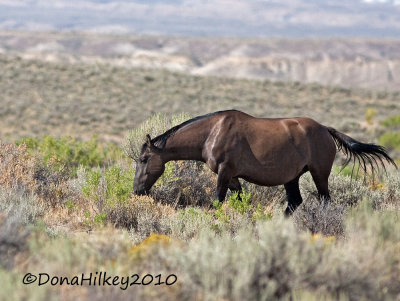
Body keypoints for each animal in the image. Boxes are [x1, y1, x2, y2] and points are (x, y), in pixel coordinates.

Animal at [133, 109, 396, 214]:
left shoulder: (224, 173)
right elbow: (239, 200)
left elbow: (218, 201)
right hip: (292, 177)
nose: (136, 190)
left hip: (319, 174)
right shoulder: (233, 177)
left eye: (144, 159)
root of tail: (325, 130)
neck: (212, 132)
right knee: (294, 203)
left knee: (324, 201)